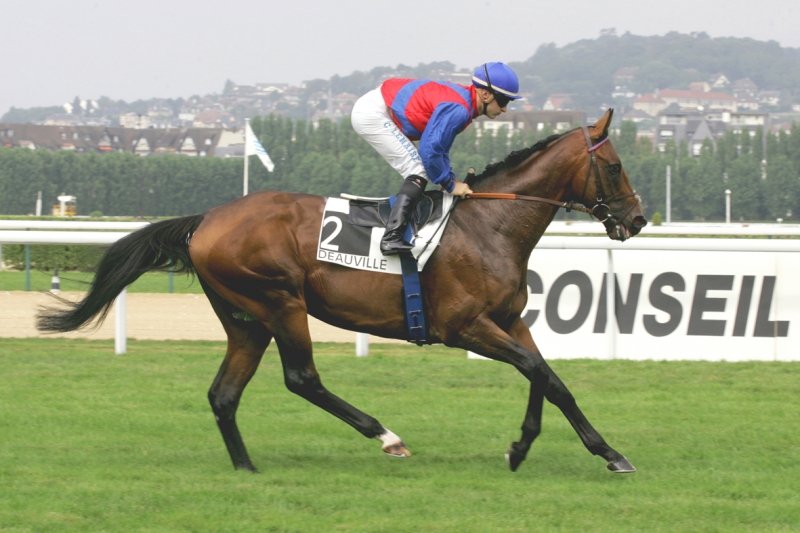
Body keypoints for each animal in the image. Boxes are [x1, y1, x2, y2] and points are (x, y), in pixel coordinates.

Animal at [37, 108, 647, 474]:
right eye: (615, 167)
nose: (637, 220)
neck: (488, 227)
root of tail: (206, 219)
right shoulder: (465, 326)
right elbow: (541, 372)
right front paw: (602, 452)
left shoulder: (509, 320)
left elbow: (545, 377)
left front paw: (533, 448)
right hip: (279, 302)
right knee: (302, 378)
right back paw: (385, 435)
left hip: (244, 319)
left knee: (224, 394)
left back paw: (246, 467)